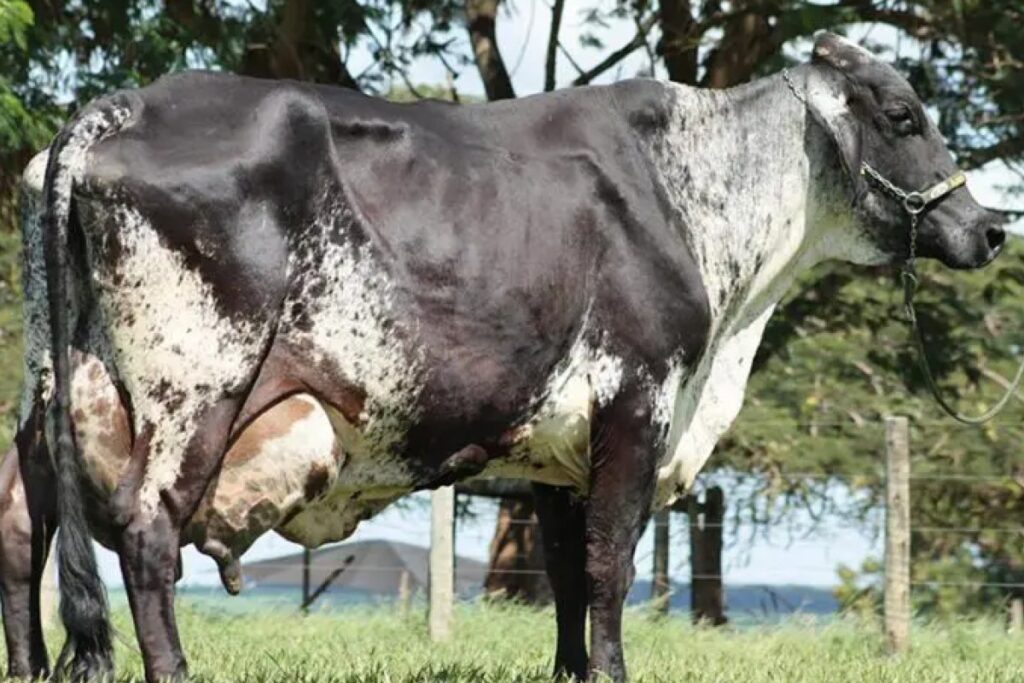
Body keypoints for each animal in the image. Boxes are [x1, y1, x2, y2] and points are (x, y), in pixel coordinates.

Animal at [1, 32, 1005, 682]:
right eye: (903, 113)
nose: (990, 227)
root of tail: (129, 102)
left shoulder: (562, 448)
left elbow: (564, 573)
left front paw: (570, 671)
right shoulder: (637, 401)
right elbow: (608, 564)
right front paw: (610, 672)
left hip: (54, 386)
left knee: (23, 518)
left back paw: (30, 664)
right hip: (196, 385)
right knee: (146, 529)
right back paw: (172, 667)